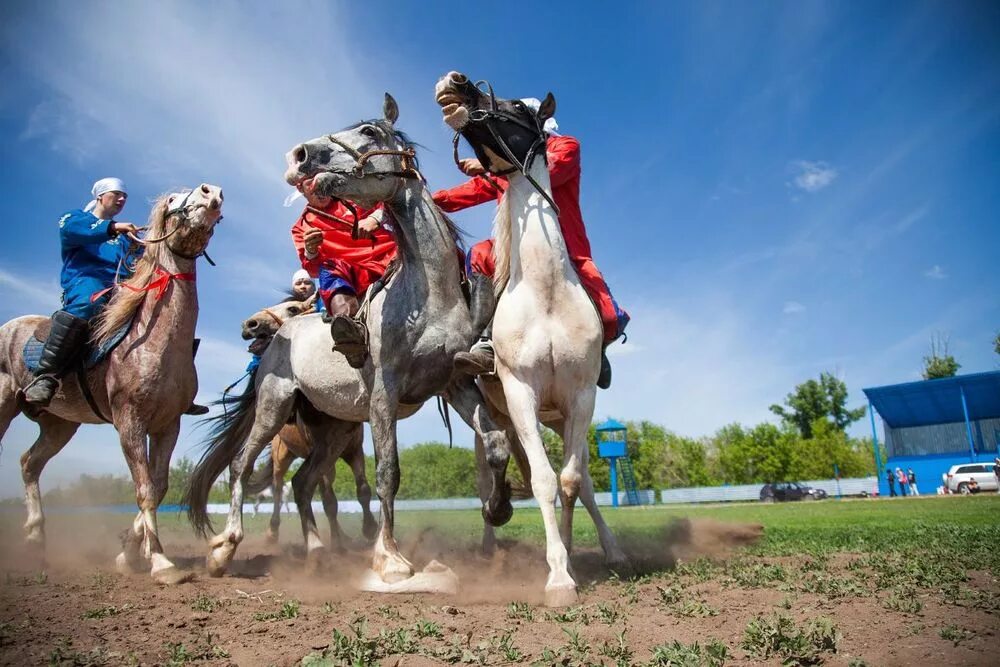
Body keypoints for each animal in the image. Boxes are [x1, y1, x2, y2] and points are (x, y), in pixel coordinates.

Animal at [0, 184, 223, 584]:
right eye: (173, 200)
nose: (211, 192)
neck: (152, 342)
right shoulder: (129, 422)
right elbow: (144, 488)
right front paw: (161, 562)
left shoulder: (168, 424)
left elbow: (158, 486)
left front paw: (128, 554)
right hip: (3, 406)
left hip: (59, 425)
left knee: (29, 464)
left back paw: (36, 538)